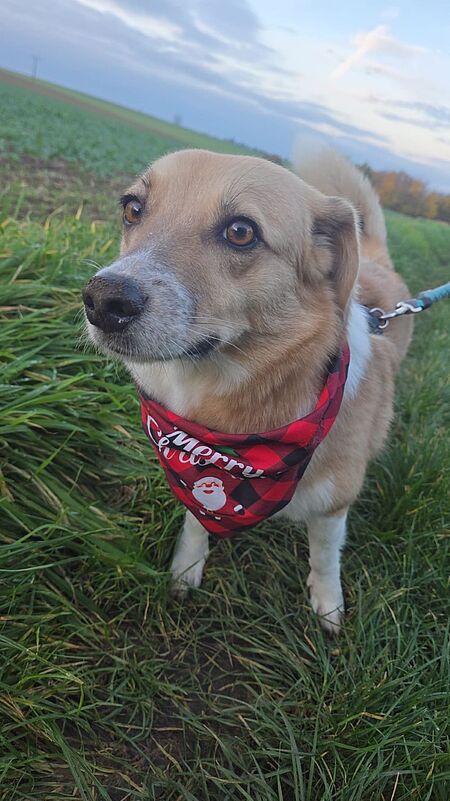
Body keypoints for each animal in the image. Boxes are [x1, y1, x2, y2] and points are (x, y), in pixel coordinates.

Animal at [82, 149, 412, 633]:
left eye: (241, 232)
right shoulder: (195, 477)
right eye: (132, 209)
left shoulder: (334, 505)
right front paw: (186, 569)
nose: (103, 300)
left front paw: (328, 607)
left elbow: (325, 559)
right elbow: (196, 525)